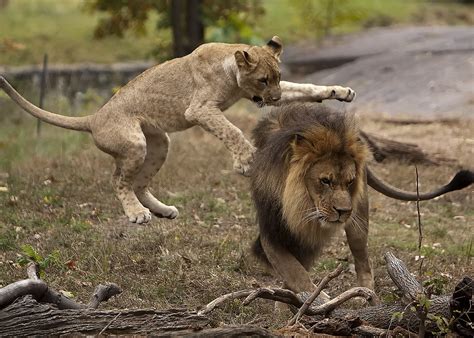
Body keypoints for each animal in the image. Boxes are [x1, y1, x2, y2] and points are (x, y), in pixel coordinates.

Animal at [0, 37, 356, 223]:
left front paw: (340, 92)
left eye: (278, 77)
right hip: (135, 143)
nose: (275, 99)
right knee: (118, 180)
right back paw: (137, 214)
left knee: (138, 182)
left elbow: (305, 88)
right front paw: (244, 161)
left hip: (160, 143)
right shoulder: (198, 110)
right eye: (263, 80)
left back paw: (162, 210)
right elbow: (231, 130)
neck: (231, 69)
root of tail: (94, 117)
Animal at [250, 102, 472, 290]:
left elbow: (298, 275)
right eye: (325, 181)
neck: (298, 205)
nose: (343, 211)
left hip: (359, 221)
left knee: (364, 264)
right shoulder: (271, 231)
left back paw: (369, 298)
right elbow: (295, 274)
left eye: (349, 182)